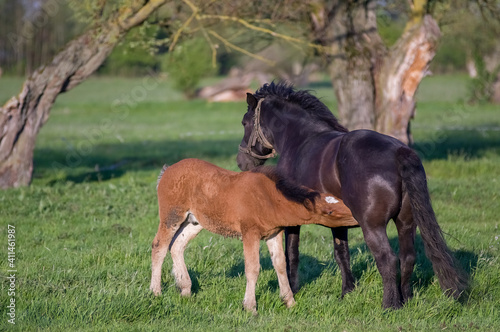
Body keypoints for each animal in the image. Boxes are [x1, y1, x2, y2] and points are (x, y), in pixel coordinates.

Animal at [150, 158, 358, 312]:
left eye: (340, 201)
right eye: (330, 212)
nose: (357, 218)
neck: (268, 198)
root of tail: (167, 170)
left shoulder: (274, 234)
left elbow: (280, 265)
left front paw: (289, 302)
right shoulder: (250, 233)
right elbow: (252, 268)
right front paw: (250, 307)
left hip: (194, 222)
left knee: (177, 246)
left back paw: (185, 289)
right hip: (172, 216)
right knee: (159, 246)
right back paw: (155, 292)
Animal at [236, 81, 466, 308]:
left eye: (245, 122)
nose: (241, 162)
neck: (300, 141)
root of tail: (398, 151)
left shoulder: (293, 219)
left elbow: (291, 254)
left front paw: (293, 289)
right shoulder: (338, 223)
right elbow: (342, 254)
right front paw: (347, 292)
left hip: (373, 227)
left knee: (387, 259)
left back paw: (390, 305)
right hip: (406, 223)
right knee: (407, 257)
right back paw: (406, 299)